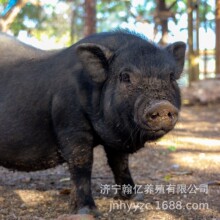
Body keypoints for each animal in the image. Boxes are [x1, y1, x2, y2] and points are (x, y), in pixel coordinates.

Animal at [0, 31, 186, 215]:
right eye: (125, 76)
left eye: (171, 77)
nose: (162, 105)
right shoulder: (71, 125)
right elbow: (82, 163)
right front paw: (88, 211)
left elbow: (120, 163)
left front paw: (134, 197)